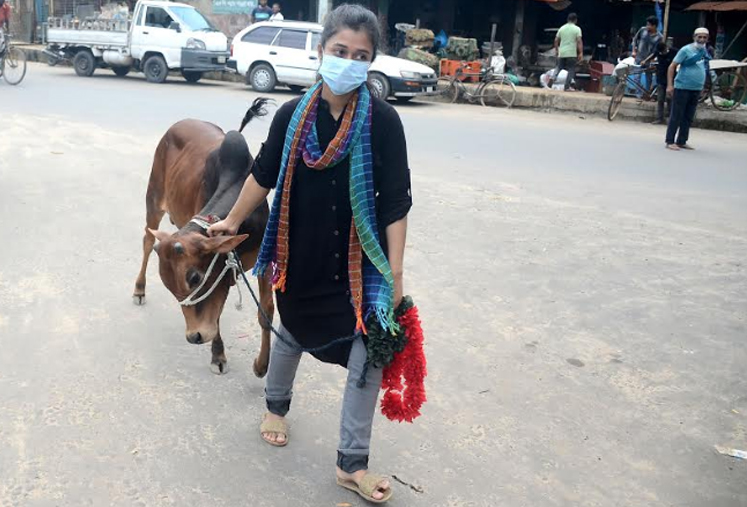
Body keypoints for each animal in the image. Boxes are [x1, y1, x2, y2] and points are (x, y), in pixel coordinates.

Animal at [134, 99, 274, 378]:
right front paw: (217, 355)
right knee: (147, 242)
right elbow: (216, 315)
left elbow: (265, 312)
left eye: (195, 278)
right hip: (154, 200)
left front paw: (261, 366)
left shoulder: (263, 259)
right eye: (169, 286)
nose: (194, 336)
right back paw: (139, 288)